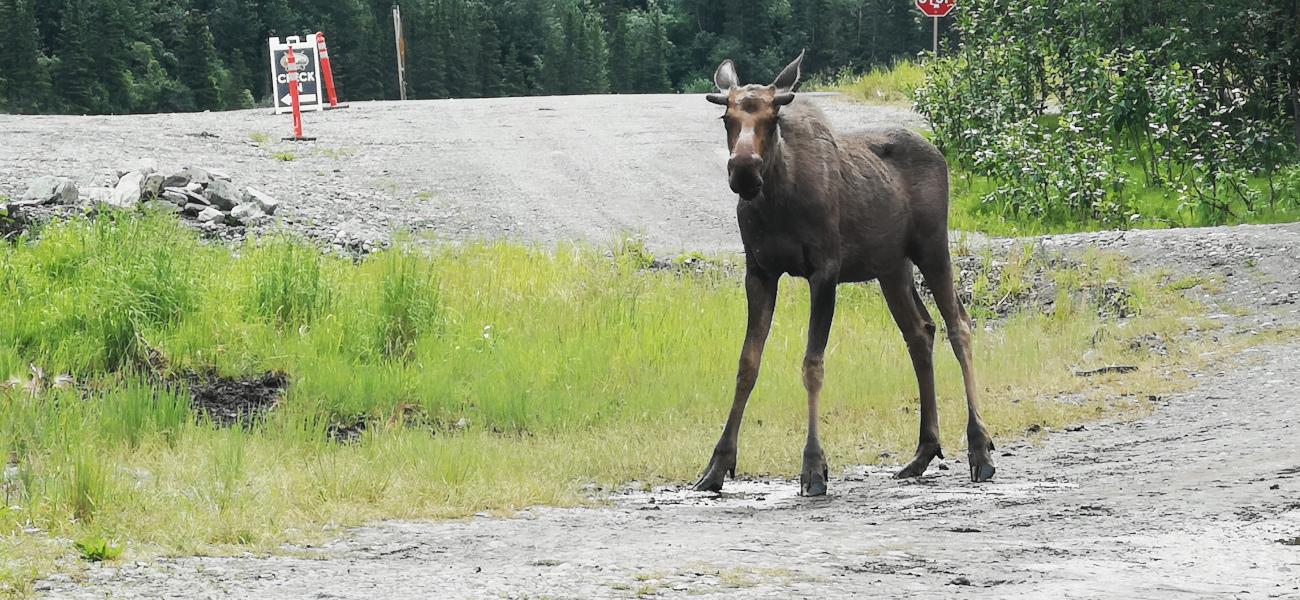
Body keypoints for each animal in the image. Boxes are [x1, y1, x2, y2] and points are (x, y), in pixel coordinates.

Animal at [702, 51, 993, 493]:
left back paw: (980, 448)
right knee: (920, 331)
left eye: (773, 117)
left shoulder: (825, 269)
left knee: (958, 324)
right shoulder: (759, 271)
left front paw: (813, 466)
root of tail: (940, 155)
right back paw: (923, 451)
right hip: (892, 267)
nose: (744, 171)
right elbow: (747, 363)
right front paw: (717, 464)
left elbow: (812, 364)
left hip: (932, 247)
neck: (776, 202)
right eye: (726, 117)